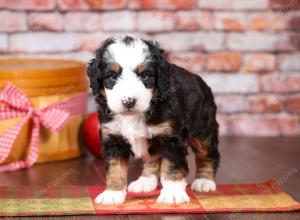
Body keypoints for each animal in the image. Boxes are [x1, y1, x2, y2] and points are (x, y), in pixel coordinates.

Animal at [87, 34, 220, 205]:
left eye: (145, 75)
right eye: (112, 76)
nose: (129, 102)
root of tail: (199, 80)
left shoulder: (171, 138)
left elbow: (172, 165)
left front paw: (172, 193)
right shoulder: (113, 138)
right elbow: (115, 169)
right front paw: (112, 193)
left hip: (203, 130)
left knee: (208, 154)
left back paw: (204, 181)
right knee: (153, 159)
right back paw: (145, 181)